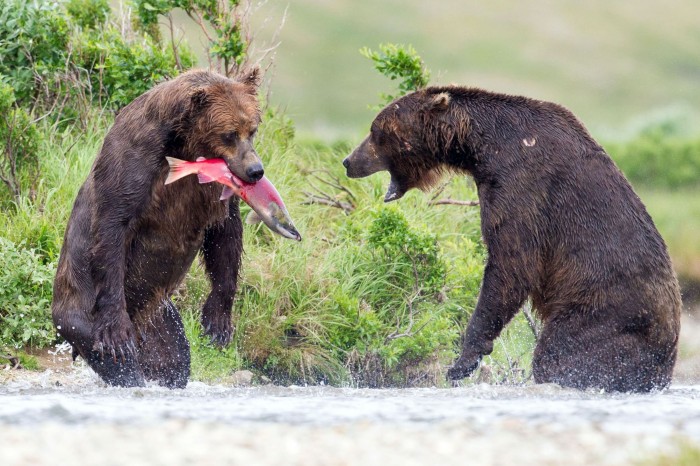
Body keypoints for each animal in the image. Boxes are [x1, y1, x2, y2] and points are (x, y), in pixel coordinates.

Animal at [52, 69, 266, 388]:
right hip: (82, 313)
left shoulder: (214, 189)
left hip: (160, 318)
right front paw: (116, 333)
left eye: (252, 129)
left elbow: (225, 235)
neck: (186, 145)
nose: (255, 170)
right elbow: (113, 224)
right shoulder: (135, 159)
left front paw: (218, 323)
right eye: (229, 133)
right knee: (119, 363)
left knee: (174, 357)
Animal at [344, 86, 684, 394]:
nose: (348, 161)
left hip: (605, 311)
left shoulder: (522, 185)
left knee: (561, 351)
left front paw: (462, 361)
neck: (482, 147)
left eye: (376, 131)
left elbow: (512, 264)